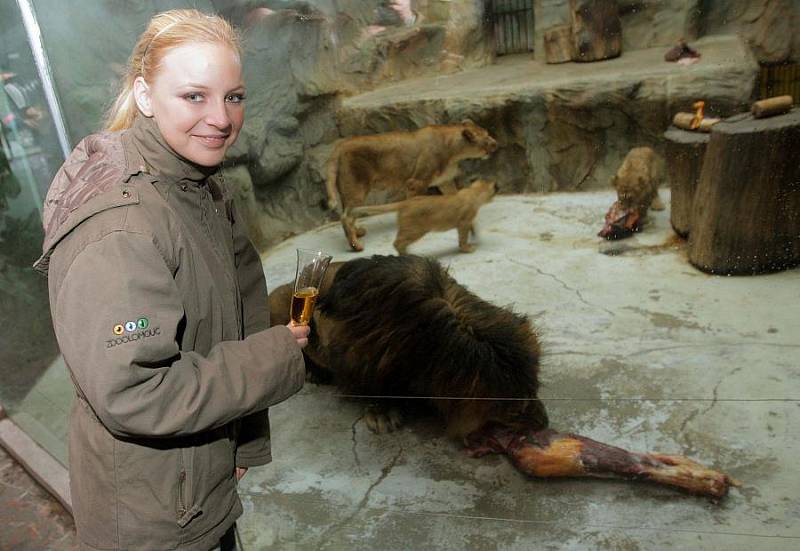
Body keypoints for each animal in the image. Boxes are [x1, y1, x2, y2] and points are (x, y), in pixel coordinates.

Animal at [272, 254, 548, 440]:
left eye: (534, 390)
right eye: (515, 411)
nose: (544, 423)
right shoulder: (348, 353)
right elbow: (368, 385)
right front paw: (382, 413)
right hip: (278, 303)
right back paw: (313, 372)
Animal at [354, 179, 496, 254]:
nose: (497, 187)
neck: (472, 193)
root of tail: (406, 202)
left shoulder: (467, 221)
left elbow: (472, 227)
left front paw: (474, 235)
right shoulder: (463, 223)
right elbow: (462, 238)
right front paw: (467, 248)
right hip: (415, 230)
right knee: (397, 242)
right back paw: (407, 254)